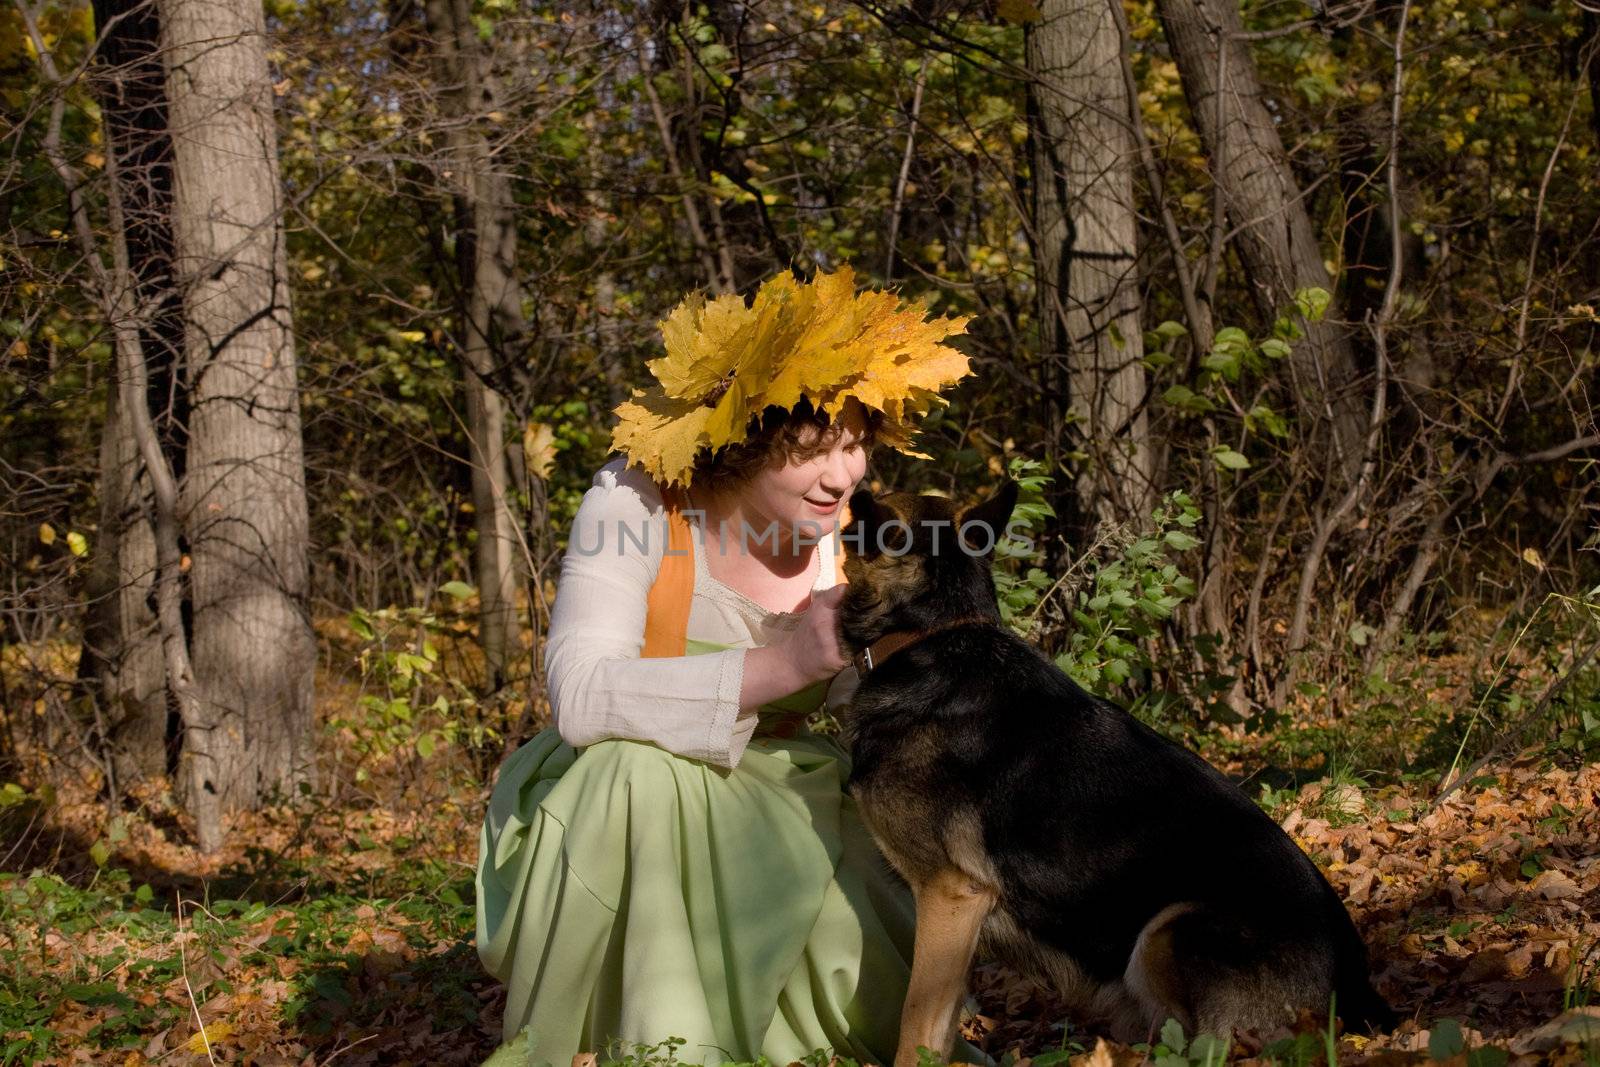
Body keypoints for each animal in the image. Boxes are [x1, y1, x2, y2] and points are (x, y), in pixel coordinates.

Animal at [832, 486, 1395, 1067]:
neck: (929, 635)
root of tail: (1360, 991)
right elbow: (939, 1033)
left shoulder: (950, 896)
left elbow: (916, 1022)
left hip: (1168, 929)